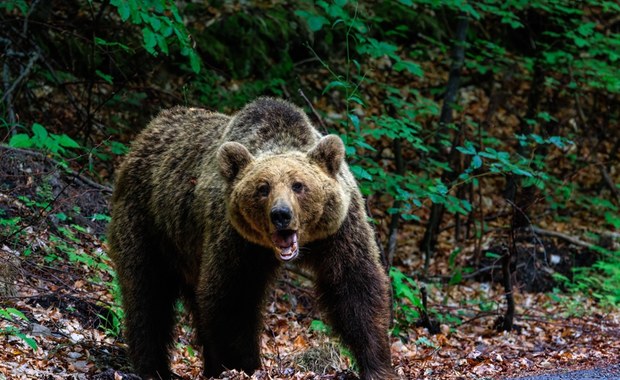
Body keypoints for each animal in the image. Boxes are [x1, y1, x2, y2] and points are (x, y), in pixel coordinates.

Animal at [108, 96, 394, 378]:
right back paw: (153, 367)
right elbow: (233, 299)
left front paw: (377, 364)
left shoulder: (339, 231)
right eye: (263, 188)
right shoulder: (236, 240)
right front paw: (244, 365)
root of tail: (146, 133)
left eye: (298, 185)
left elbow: (355, 287)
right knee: (147, 294)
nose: (281, 214)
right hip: (148, 224)